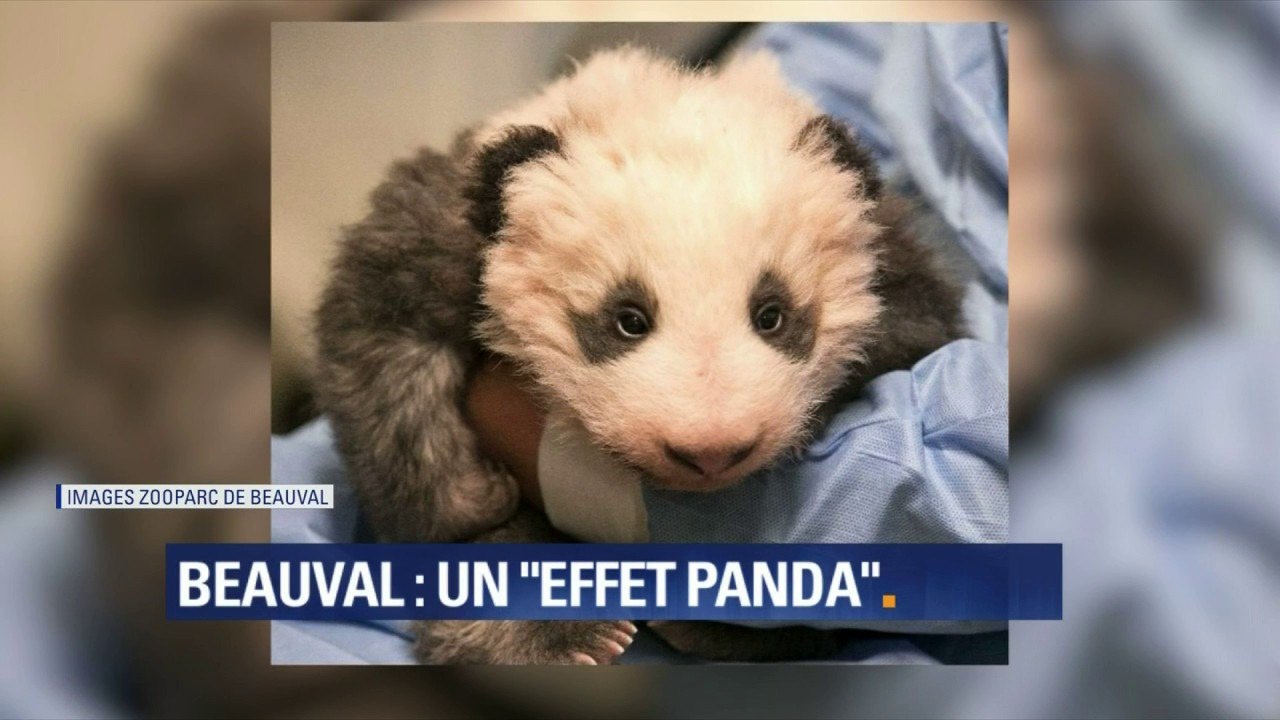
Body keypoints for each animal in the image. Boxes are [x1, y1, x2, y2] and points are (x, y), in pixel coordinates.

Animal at [314, 47, 965, 664]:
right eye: (627, 319)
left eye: (772, 315)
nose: (710, 451)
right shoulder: (448, 234)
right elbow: (378, 335)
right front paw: (471, 498)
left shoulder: (895, 269)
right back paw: (556, 638)